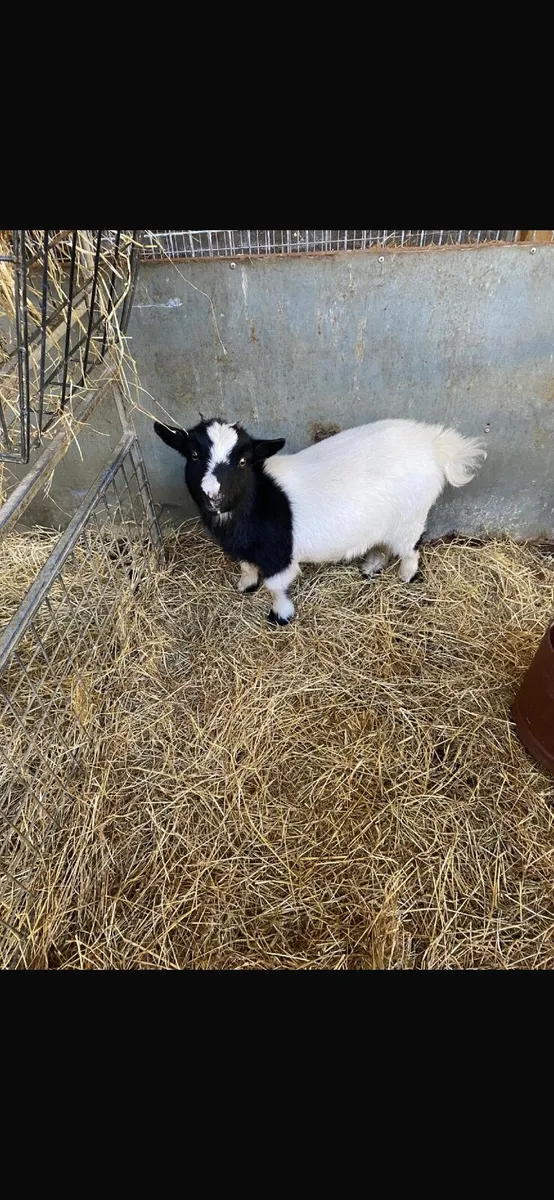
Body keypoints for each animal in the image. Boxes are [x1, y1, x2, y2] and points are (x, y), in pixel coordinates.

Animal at [154, 417, 486, 624]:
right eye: (194, 455)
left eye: (244, 460)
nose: (213, 494)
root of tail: (435, 445)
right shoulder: (245, 549)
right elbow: (247, 567)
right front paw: (245, 585)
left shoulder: (279, 555)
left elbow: (275, 586)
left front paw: (281, 616)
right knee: (382, 544)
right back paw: (371, 567)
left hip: (410, 519)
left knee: (411, 550)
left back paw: (406, 577)